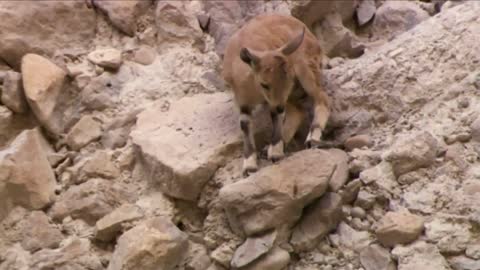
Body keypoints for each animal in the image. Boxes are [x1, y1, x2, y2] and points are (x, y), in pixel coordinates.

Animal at [222, 13, 330, 176]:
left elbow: (276, 116)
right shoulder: (242, 100)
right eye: (264, 84)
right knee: (298, 110)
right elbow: (245, 124)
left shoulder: (278, 97)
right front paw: (249, 166)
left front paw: (276, 152)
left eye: (288, 79)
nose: (280, 107)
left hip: (305, 69)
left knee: (322, 98)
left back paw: (312, 137)